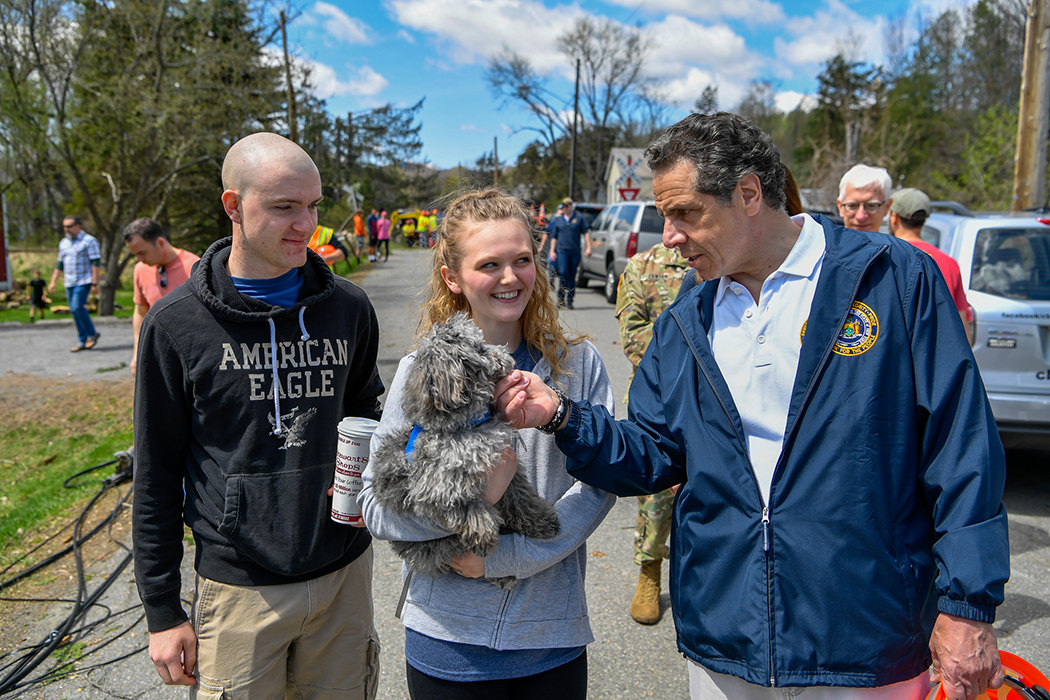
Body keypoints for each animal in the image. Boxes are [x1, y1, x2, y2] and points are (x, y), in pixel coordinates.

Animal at [371, 314, 562, 587]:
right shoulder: (436, 487)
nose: (507, 353)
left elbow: (521, 497)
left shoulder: (507, 469)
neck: (468, 425)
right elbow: (467, 506)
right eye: (480, 349)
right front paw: (483, 533)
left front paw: (542, 520)